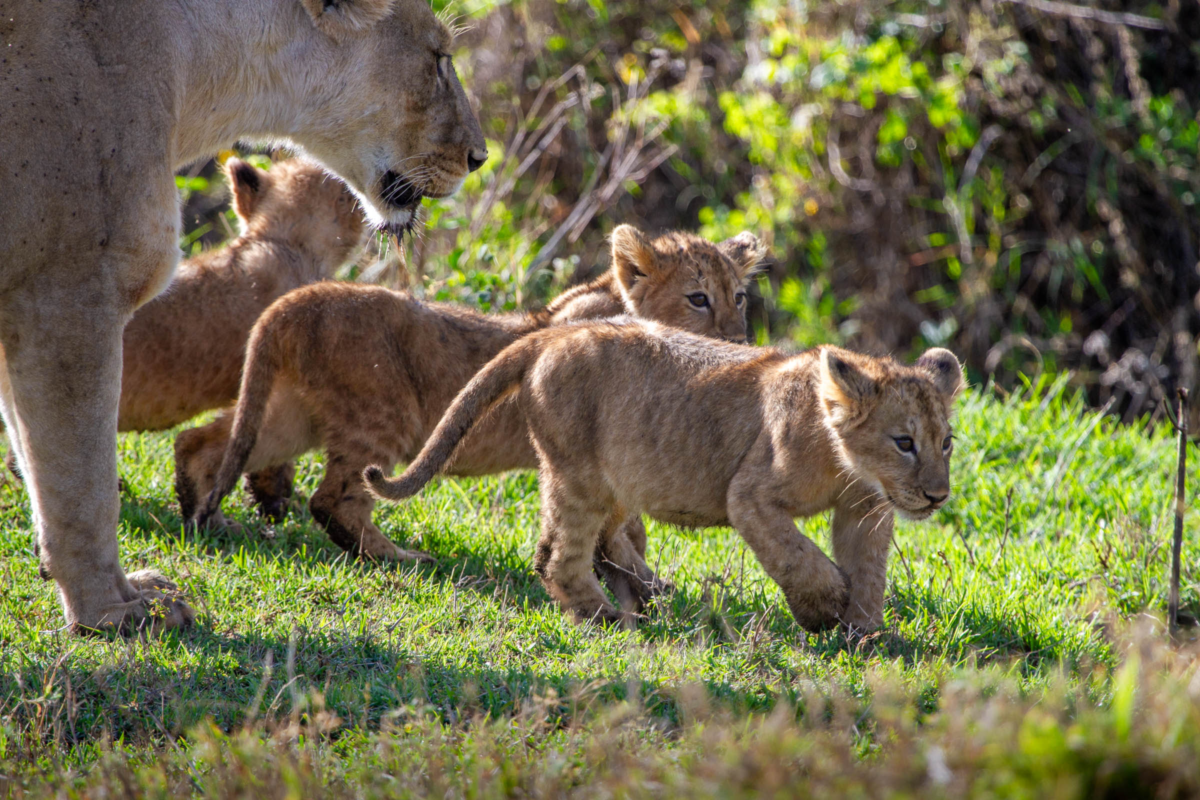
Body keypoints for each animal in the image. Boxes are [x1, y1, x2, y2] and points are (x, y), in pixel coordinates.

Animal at [0, 0, 486, 633]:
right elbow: (80, 482)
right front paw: (110, 610)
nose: (480, 157)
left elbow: (39, 465)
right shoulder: (69, 293)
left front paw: (123, 589)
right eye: (439, 57)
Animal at [176, 225, 764, 565]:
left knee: (205, 443)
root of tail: (298, 300)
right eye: (697, 299)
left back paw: (203, 519)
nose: (739, 342)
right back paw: (403, 558)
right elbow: (618, 529)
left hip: (295, 414)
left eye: (738, 297)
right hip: (381, 413)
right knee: (335, 499)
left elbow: (627, 527)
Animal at [365, 320, 963, 633]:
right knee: (559, 555)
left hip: (612, 479)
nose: (937, 496)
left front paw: (865, 632)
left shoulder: (866, 508)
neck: (845, 462)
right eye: (904, 443)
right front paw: (823, 609)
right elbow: (799, 557)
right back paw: (610, 617)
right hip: (579, 473)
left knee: (581, 544)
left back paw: (644, 597)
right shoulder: (750, 496)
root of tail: (554, 333)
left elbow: (870, 570)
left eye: (946, 443)